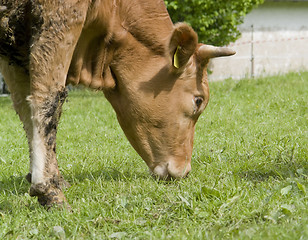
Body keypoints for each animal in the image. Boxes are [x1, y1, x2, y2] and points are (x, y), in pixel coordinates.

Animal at [0, 0, 233, 208]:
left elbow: (25, 110)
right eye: (198, 101)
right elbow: (47, 101)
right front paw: (48, 189)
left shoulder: (14, 49)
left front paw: (53, 178)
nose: (184, 170)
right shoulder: (60, 16)